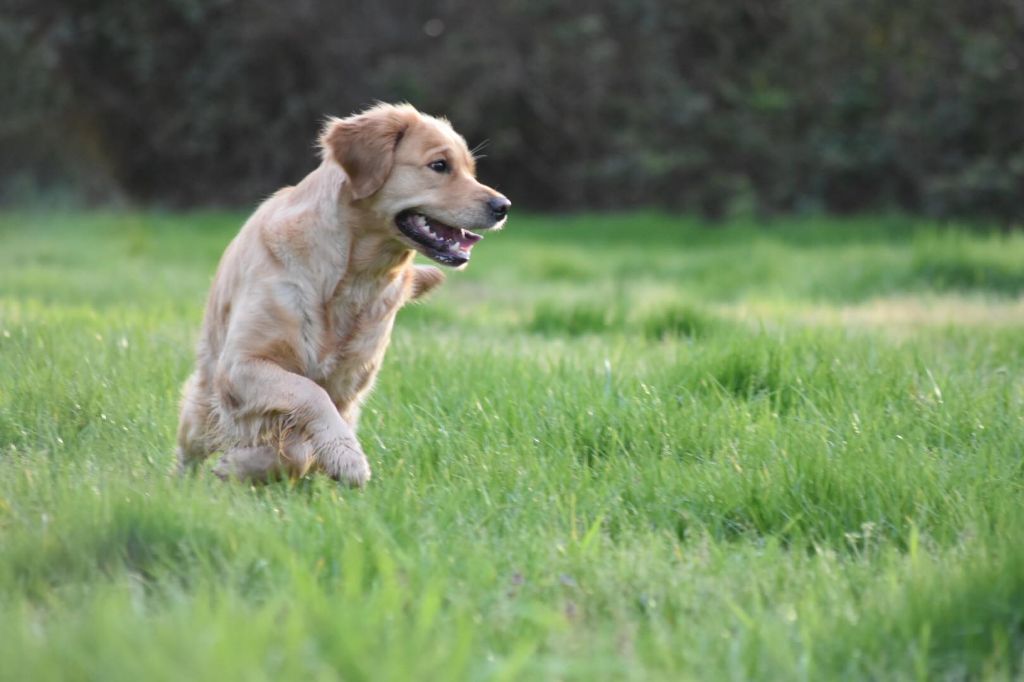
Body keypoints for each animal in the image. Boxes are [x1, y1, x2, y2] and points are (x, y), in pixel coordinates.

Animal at [179, 102, 512, 483]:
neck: (352, 278)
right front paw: (347, 457)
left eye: (471, 170)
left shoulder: (348, 388)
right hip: (202, 403)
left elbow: (301, 445)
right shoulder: (241, 365)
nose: (503, 206)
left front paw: (246, 464)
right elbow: (308, 394)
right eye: (440, 165)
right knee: (190, 446)